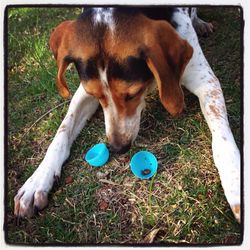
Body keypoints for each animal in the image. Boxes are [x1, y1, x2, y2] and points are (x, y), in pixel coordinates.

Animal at [13, 7, 240, 223]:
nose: (117, 148)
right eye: (95, 94)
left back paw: (200, 23)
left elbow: (221, 137)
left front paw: (235, 181)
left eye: (132, 94)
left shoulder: (206, 81)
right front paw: (37, 180)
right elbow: (62, 131)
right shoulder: (83, 93)